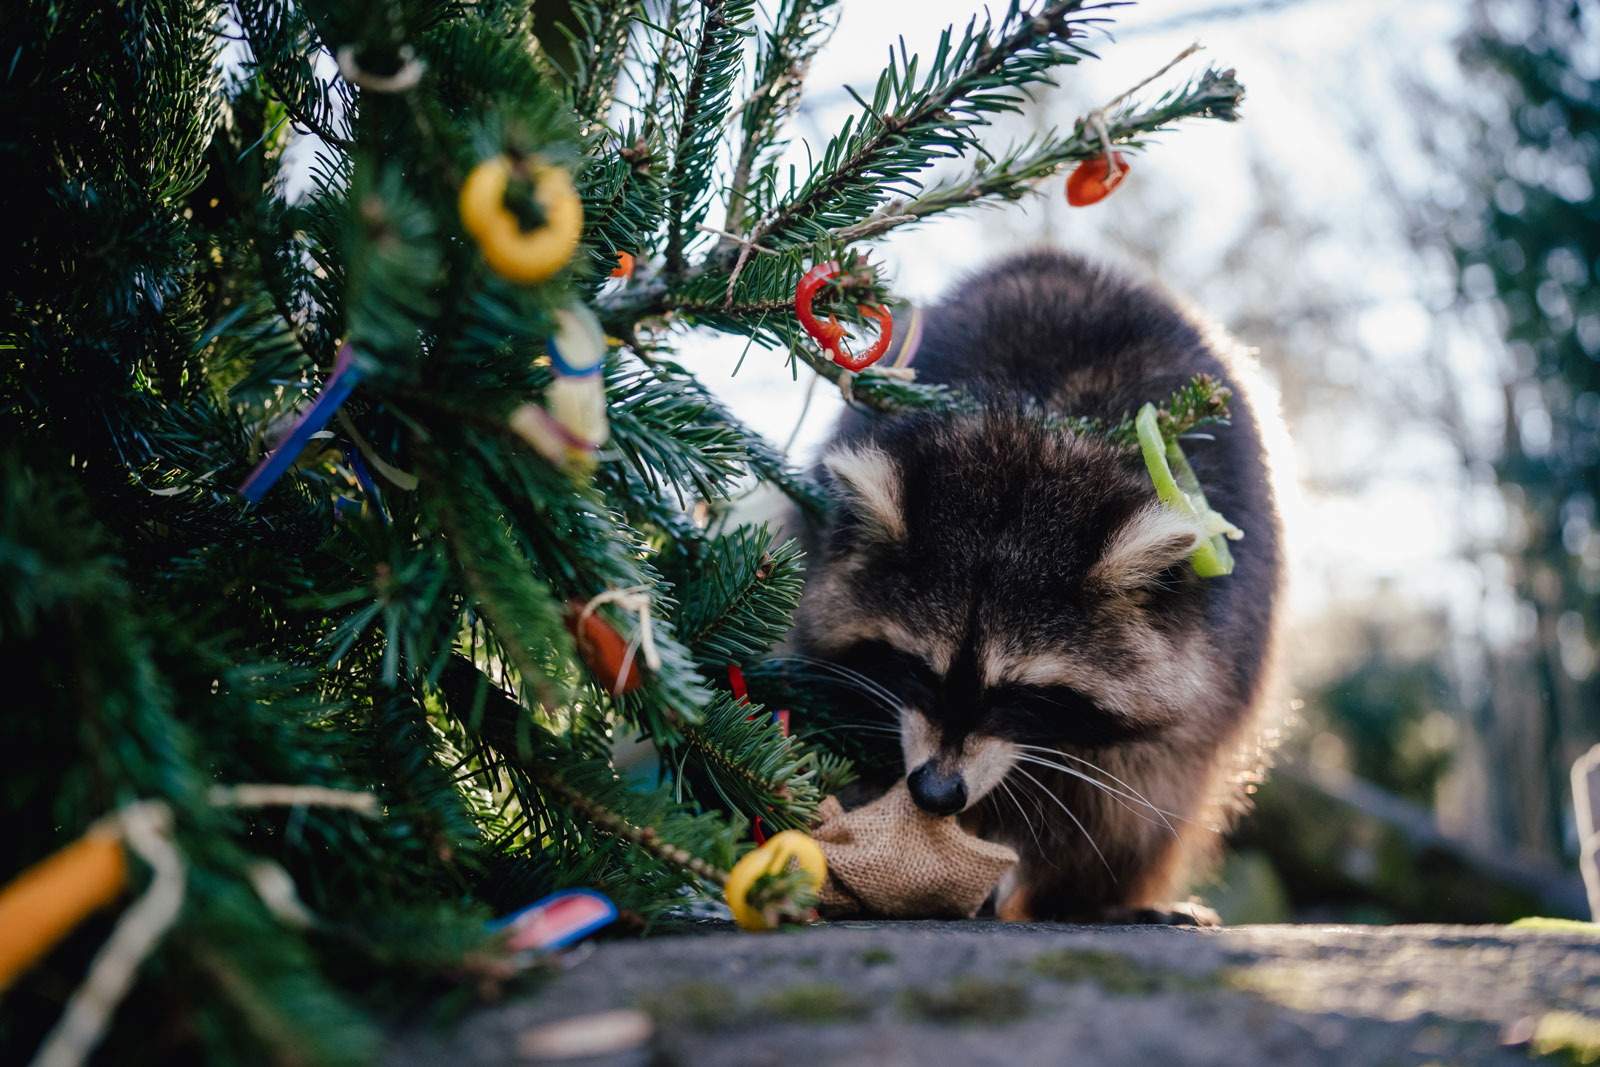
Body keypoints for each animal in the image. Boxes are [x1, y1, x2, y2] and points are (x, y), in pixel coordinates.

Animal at [790, 251, 1286, 927]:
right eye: (917, 669)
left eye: (1020, 695)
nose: (935, 793)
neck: (1038, 428)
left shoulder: (1219, 641)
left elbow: (1130, 789)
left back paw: (1104, 899)